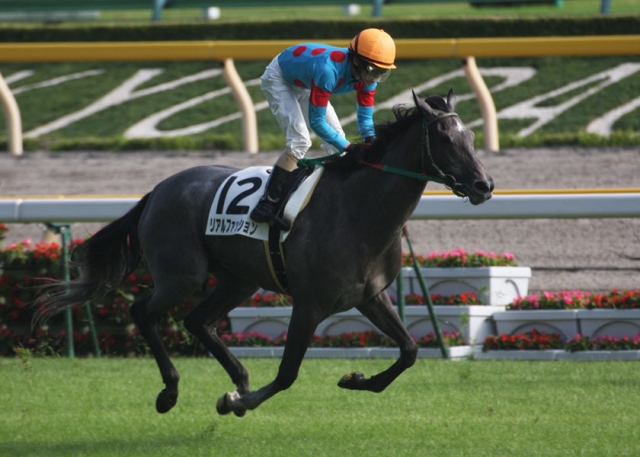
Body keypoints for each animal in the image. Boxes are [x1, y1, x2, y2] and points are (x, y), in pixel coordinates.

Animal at [38, 89, 494, 417]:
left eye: (471, 137)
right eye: (445, 138)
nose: (484, 185)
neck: (359, 211)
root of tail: (157, 190)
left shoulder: (369, 296)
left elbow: (410, 351)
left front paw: (354, 379)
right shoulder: (309, 304)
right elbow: (289, 372)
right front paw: (237, 403)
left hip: (238, 279)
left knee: (197, 321)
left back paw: (238, 377)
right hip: (181, 274)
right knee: (142, 312)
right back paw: (171, 390)